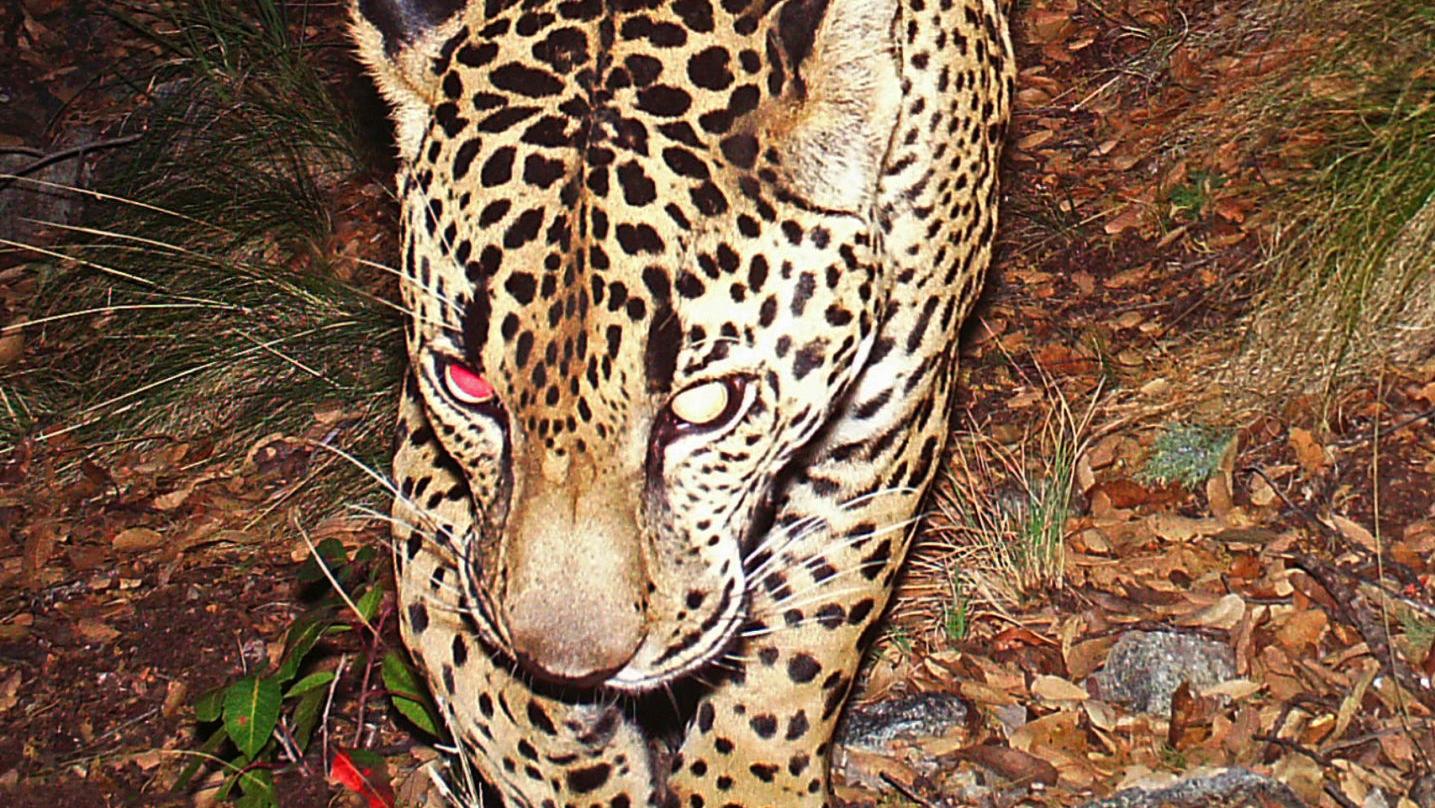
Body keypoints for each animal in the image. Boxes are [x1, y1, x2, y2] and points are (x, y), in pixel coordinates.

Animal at [350, 0, 1012, 804]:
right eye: (468, 385)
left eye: (705, 407)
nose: (573, 666)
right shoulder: (425, 427)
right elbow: (443, 623)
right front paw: (570, 765)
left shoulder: (886, 411)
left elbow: (808, 619)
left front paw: (748, 776)